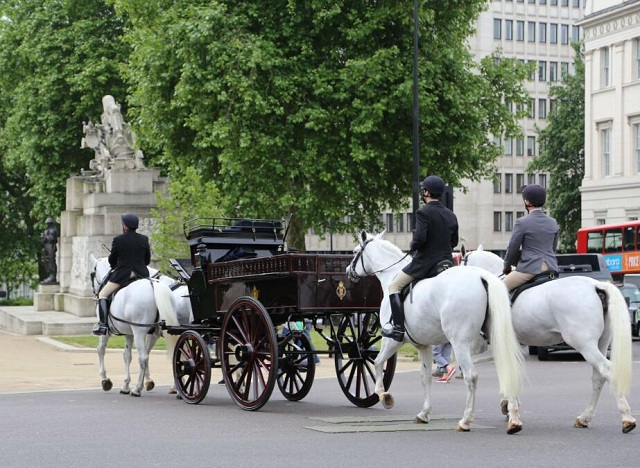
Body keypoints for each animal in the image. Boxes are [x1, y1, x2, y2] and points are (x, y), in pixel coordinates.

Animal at [90, 254, 180, 396]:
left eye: (92, 274)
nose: (95, 294)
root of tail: (152, 284)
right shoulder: (130, 333)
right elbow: (127, 356)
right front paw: (126, 385)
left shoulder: (106, 333)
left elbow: (100, 350)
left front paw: (105, 380)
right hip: (162, 332)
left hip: (140, 332)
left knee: (143, 357)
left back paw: (137, 389)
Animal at [348, 232, 528, 434]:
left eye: (354, 252)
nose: (348, 271)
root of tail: (482, 277)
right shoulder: (423, 345)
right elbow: (425, 378)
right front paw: (424, 413)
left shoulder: (392, 340)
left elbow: (378, 362)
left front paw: (382, 394)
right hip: (495, 338)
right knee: (508, 368)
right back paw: (513, 418)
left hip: (459, 343)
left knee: (471, 376)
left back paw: (466, 420)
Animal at [462, 247, 636, 434]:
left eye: (462, 261)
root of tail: (596, 286)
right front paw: (510, 407)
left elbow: (507, 369)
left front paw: (508, 407)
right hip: (601, 344)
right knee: (598, 377)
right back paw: (585, 417)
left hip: (585, 345)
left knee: (607, 370)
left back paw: (627, 418)